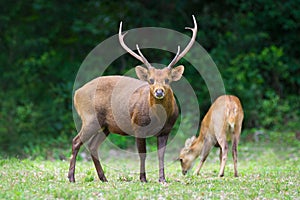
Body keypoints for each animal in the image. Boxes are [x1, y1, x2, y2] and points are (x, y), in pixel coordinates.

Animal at [69, 16, 198, 184]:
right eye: (150, 80)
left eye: (167, 80)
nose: (159, 92)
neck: (157, 118)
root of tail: (77, 93)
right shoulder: (138, 126)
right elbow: (142, 153)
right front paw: (143, 178)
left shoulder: (166, 130)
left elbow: (161, 155)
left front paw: (162, 179)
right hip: (89, 117)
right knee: (76, 141)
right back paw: (71, 177)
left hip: (105, 126)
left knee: (92, 145)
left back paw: (103, 178)